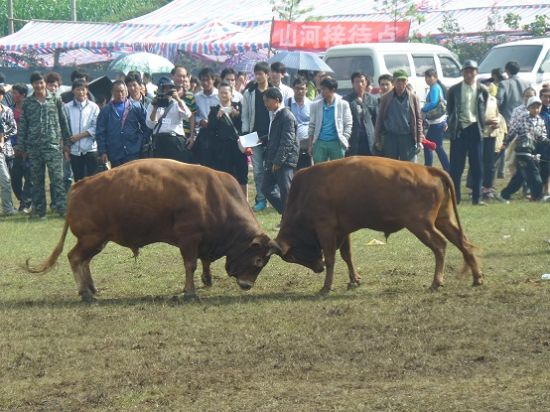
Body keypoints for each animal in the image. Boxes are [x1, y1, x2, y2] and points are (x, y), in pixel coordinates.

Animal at [25, 159, 276, 300]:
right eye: (258, 261)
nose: (247, 285)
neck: (213, 196)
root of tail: (79, 185)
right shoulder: (189, 238)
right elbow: (190, 264)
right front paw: (189, 292)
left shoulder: (204, 240)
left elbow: (204, 261)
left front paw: (207, 279)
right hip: (91, 238)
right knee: (75, 258)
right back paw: (85, 292)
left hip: (98, 240)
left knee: (84, 260)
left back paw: (92, 288)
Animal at [274, 155, 486, 292]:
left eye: (292, 256)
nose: (318, 269)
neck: (305, 191)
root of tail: (429, 169)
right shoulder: (343, 230)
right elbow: (347, 255)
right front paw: (354, 280)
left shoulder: (326, 228)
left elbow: (332, 258)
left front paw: (326, 286)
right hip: (443, 219)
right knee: (463, 242)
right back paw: (477, 278)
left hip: (420, 225)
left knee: (440, 245)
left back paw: (436, 282)